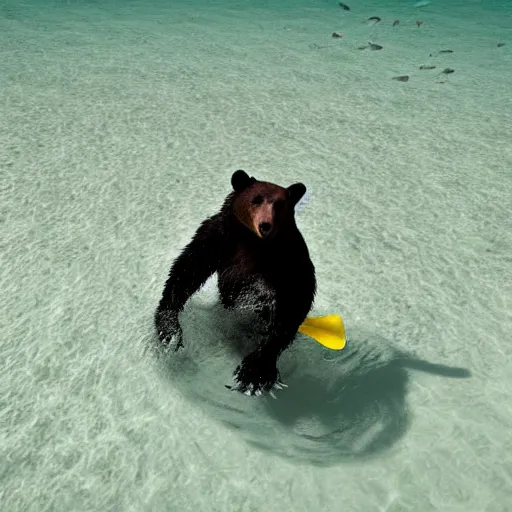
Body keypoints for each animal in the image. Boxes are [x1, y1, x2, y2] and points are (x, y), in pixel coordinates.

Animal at [155, 168, 316, 396]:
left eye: (279, 205)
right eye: (256, 199)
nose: (265, 226)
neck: (254, 242)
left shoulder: (290, 258)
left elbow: (294, 300)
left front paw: (255, 373)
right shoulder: (219, 239)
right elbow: (188, 268)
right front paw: (169, 330)